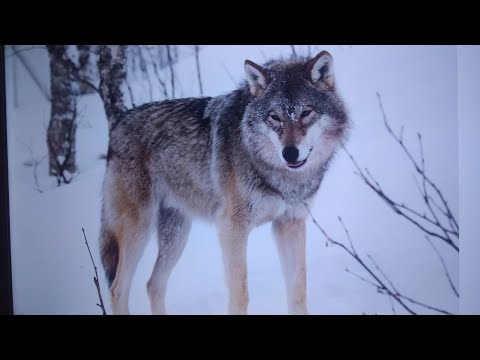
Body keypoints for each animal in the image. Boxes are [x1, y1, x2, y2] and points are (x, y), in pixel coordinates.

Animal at [100, 50, 348, 316]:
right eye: (274, 117)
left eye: (305, 113)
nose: (290, 154)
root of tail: (117, 125)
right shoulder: (232, 228)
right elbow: (241, 295)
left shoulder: (290, 223)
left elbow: (298, 292)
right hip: (139, 230)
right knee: (117, 289)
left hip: (176, 234)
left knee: (153, 284)